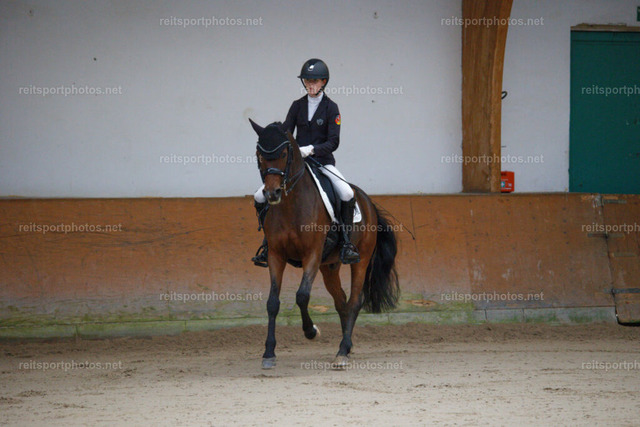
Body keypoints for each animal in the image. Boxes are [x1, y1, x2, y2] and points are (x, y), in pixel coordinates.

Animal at [249, 119, 399, 369]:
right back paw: (347, 346)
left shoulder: (312, 254)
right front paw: (269, 353)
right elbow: (272, 302)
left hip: (361, 259)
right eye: (260, 154)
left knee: (355, 301)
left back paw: (342, 351)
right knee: (341, 301)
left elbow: (302, 296)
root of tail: (368, 201)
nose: (272, 194)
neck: (291, 204)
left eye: (283, 153)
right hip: (329, 266)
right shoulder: (276, 255)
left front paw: (311, 331)